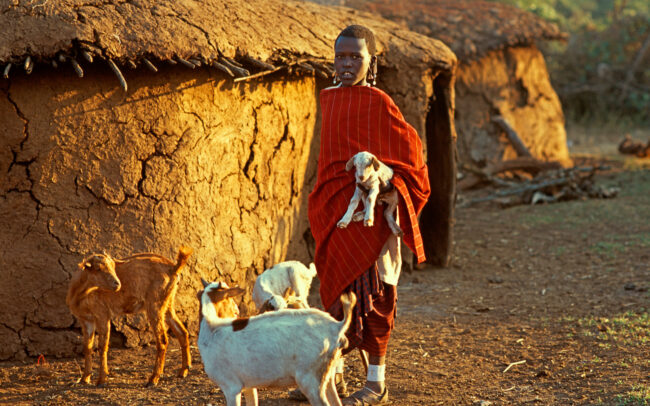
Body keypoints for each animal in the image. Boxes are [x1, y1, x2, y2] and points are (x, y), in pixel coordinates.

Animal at [66, 246, 193, 386]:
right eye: (98, 269)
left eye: (113, 266)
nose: (117, 284)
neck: (81, 293)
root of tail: (174, 268)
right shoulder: (86, 320)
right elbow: (87, 347)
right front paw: (84, 379)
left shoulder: (102, 315)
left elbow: (102, 346)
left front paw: (101, 379)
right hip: (167, 303)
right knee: (182, 332)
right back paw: (183, 371)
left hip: (155, 305)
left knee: (162, 340)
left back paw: (153, 379)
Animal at [197, 278, 356, 406]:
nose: (236, 311)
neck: (212, 329)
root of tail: (336, 327)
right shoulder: (249, 386)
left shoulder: (231, 387)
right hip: (327, 375)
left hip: (310, 379)